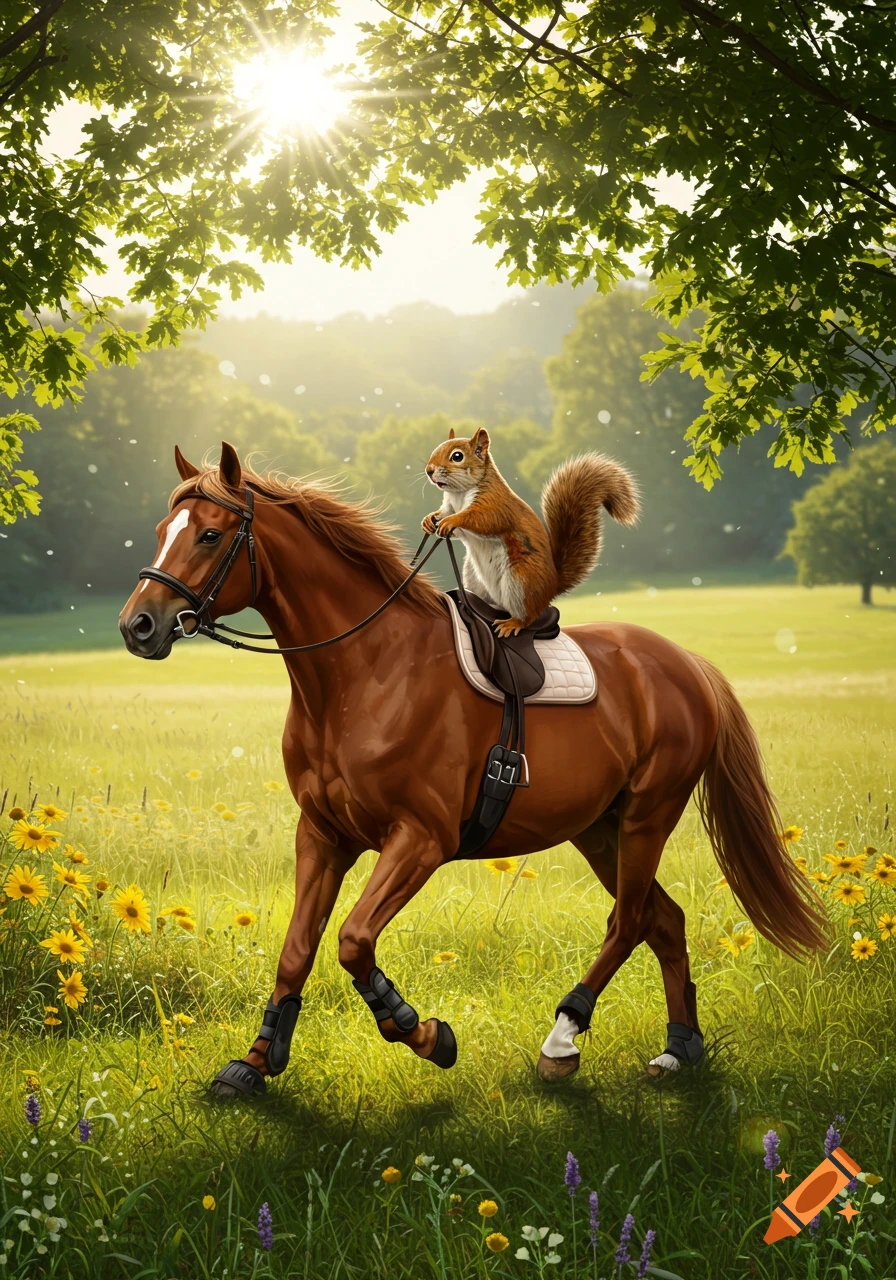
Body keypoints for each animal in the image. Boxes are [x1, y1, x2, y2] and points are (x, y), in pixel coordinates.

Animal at [422, 427, 639, 637]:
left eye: (457, 456)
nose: (429, 470)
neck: (459, 494)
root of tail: (553, 585)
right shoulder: (449, 505)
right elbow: (444, 515)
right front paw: (429, 520)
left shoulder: (495, 503)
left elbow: (482, 519)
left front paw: (452, 520)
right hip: (475, 579)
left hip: (522, 581)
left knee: (529, 615)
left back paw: (512, 623)